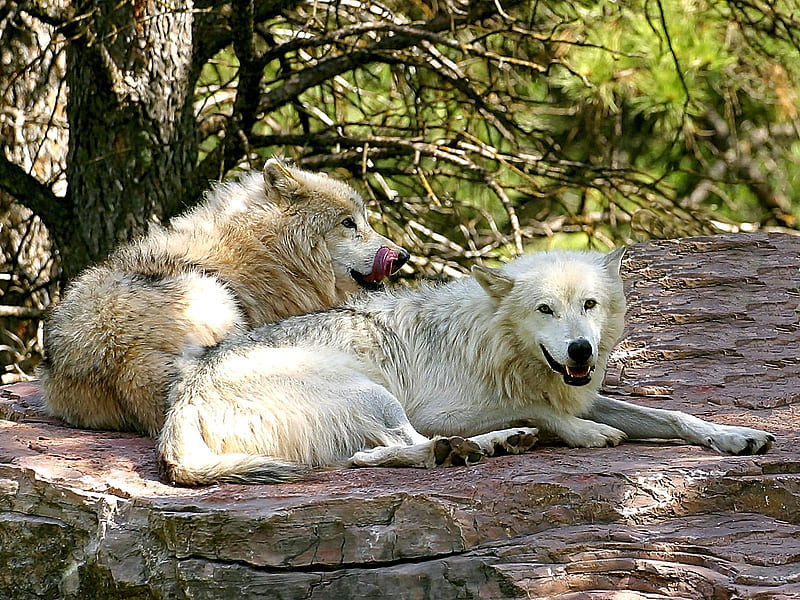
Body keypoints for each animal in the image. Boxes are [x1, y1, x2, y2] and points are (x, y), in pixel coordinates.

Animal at [40, 161, 410, 436]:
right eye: (349, 223)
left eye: (364, 220)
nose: (403, 256)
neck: (265, 250)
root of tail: (123, 357)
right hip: (215, 297)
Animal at [158, 246, 776, 486]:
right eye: (544, 309)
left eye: (589, 305)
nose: (581, 350)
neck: (501, 345)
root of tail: (182, 400)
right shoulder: (446, 408)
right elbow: (538, 410)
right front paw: (583, 433)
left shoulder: (578, 388)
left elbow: (673, 417)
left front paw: (735, 435)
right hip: (374, 394)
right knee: (397, 449)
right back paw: (483, 446)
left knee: (370, 455)